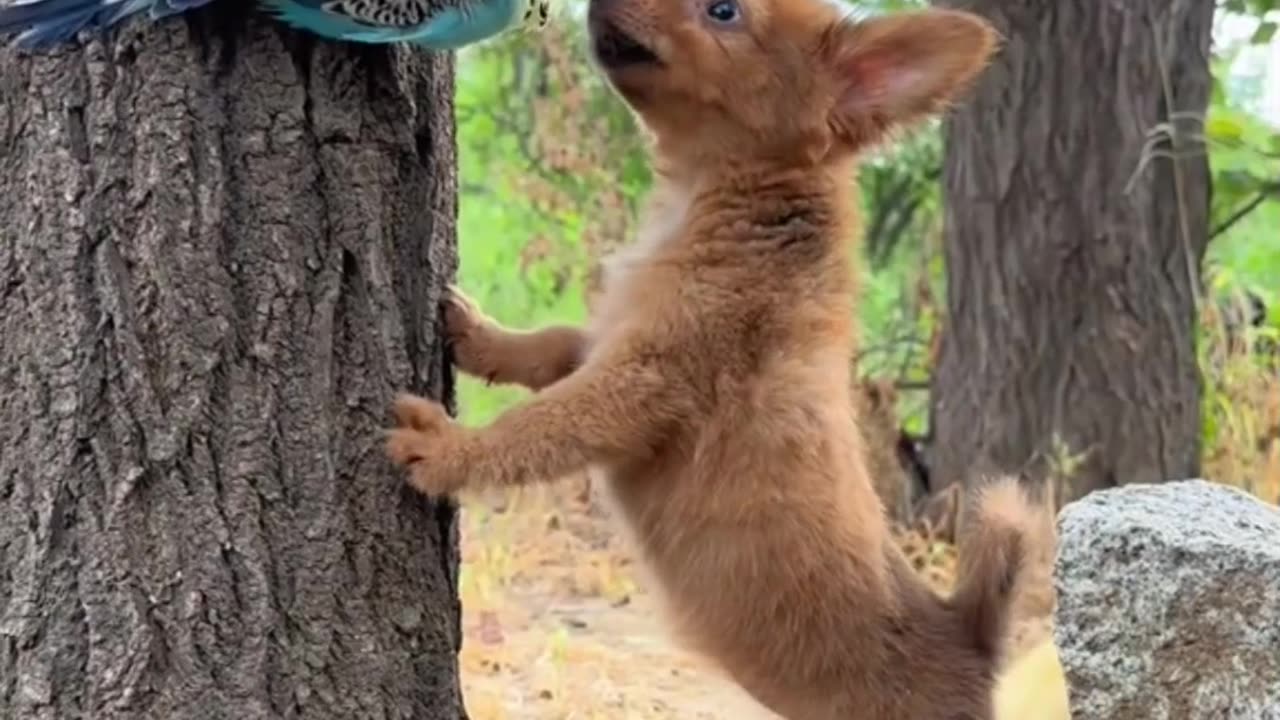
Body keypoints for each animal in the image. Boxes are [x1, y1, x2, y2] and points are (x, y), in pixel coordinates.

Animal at [384, 2, 1054, 712]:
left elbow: (533, 428)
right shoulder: (604, 341)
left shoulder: (636, 384)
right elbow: (546, 347)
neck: (705, 200)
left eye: (723, 11)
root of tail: (972, 644)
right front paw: (478, 334)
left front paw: (448, 449)